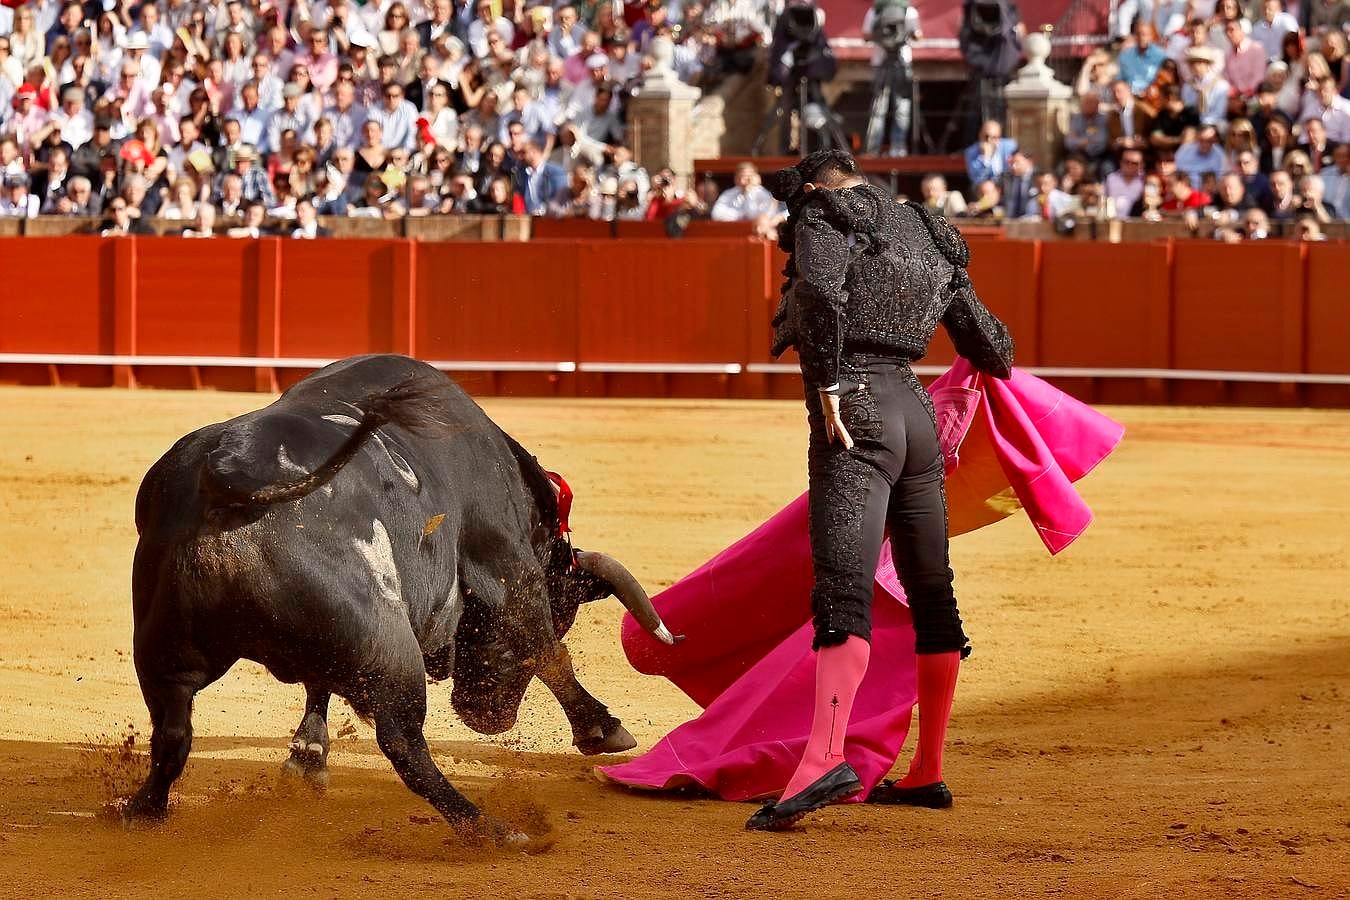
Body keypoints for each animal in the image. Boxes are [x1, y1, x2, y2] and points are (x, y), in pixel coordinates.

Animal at [126, 353, 675, 836]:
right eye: (567, 611)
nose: (491, 718)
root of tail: (231, 474)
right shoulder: (509, 566)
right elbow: (547, 649)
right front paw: (603, 729)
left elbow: (317, 684)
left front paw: (307, 758)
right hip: (389, 650)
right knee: (404, 745)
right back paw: (490, 830)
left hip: (161, 649)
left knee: (172, 734)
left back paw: (139, 810)